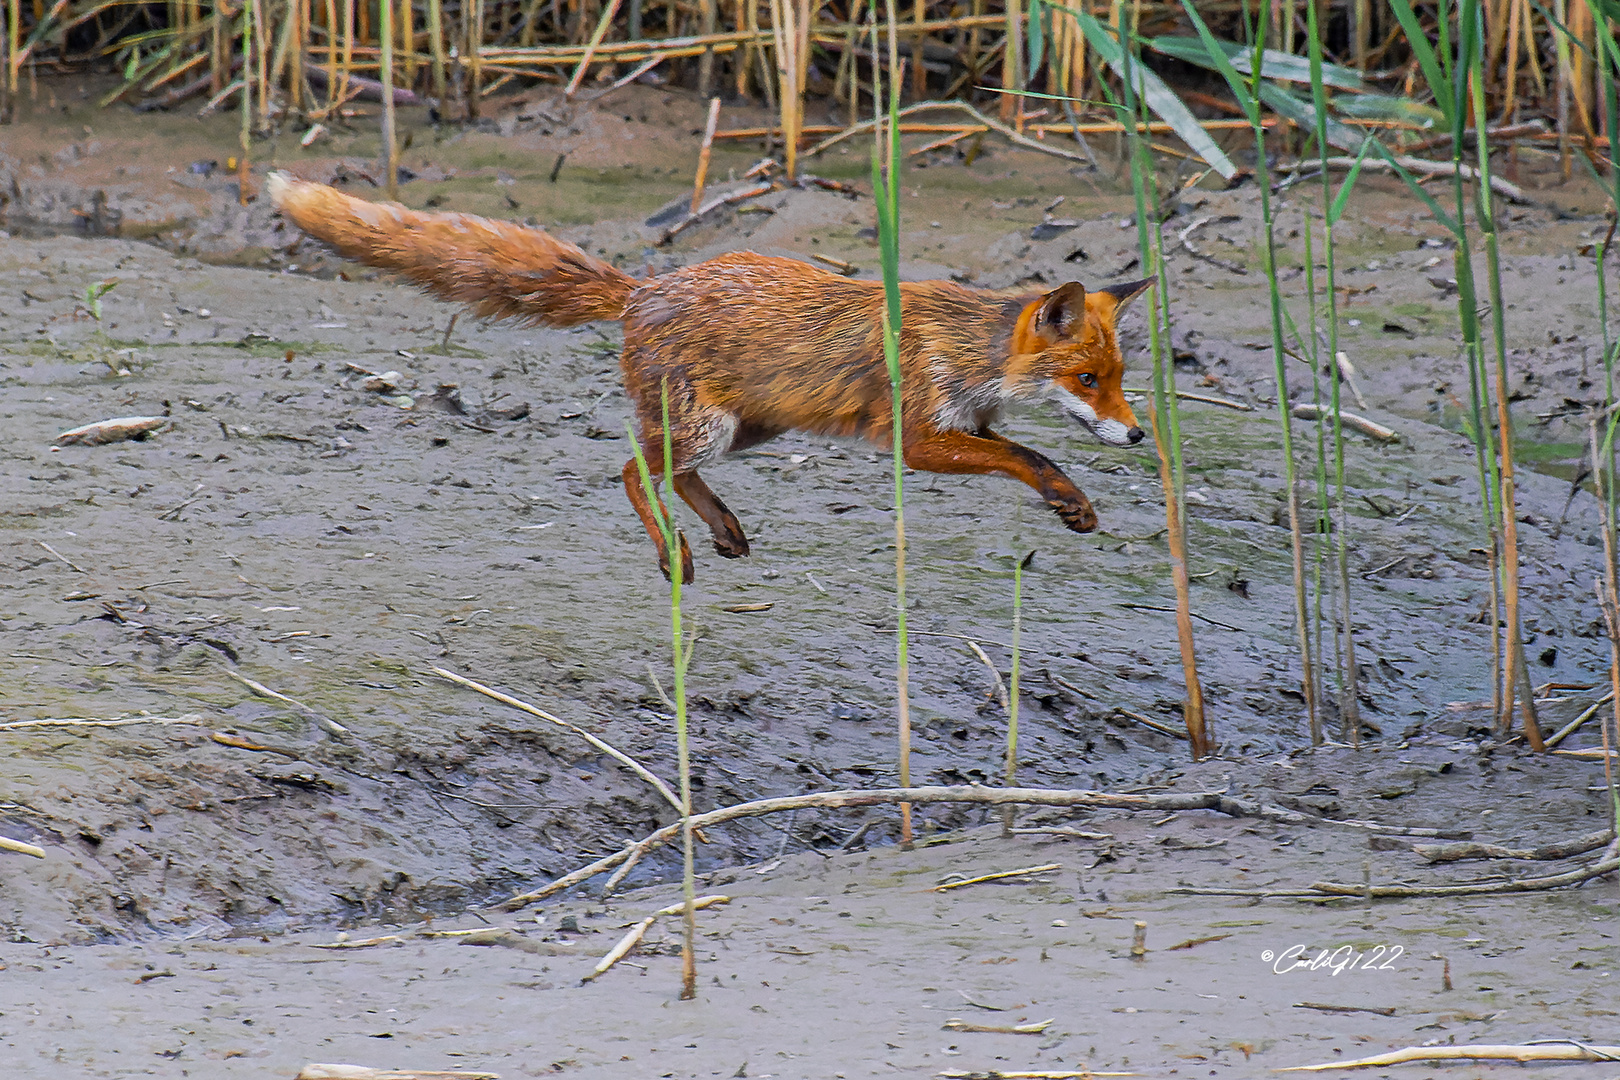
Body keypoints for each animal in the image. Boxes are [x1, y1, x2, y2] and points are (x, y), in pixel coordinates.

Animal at [265, 175, 1153, 582]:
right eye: (1086, 378)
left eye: (1117, 377)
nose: (1141, 433)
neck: (964, 351)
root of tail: (642, 287)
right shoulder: (915, 439)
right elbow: (1027, 457)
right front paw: (1072, 498)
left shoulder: (966, 424)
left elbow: (1026, 455)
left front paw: (1072, 505)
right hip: (708, 425)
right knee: (633, 470)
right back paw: (675, 555)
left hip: (749, 427)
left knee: (679, 475)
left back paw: (721, 530)